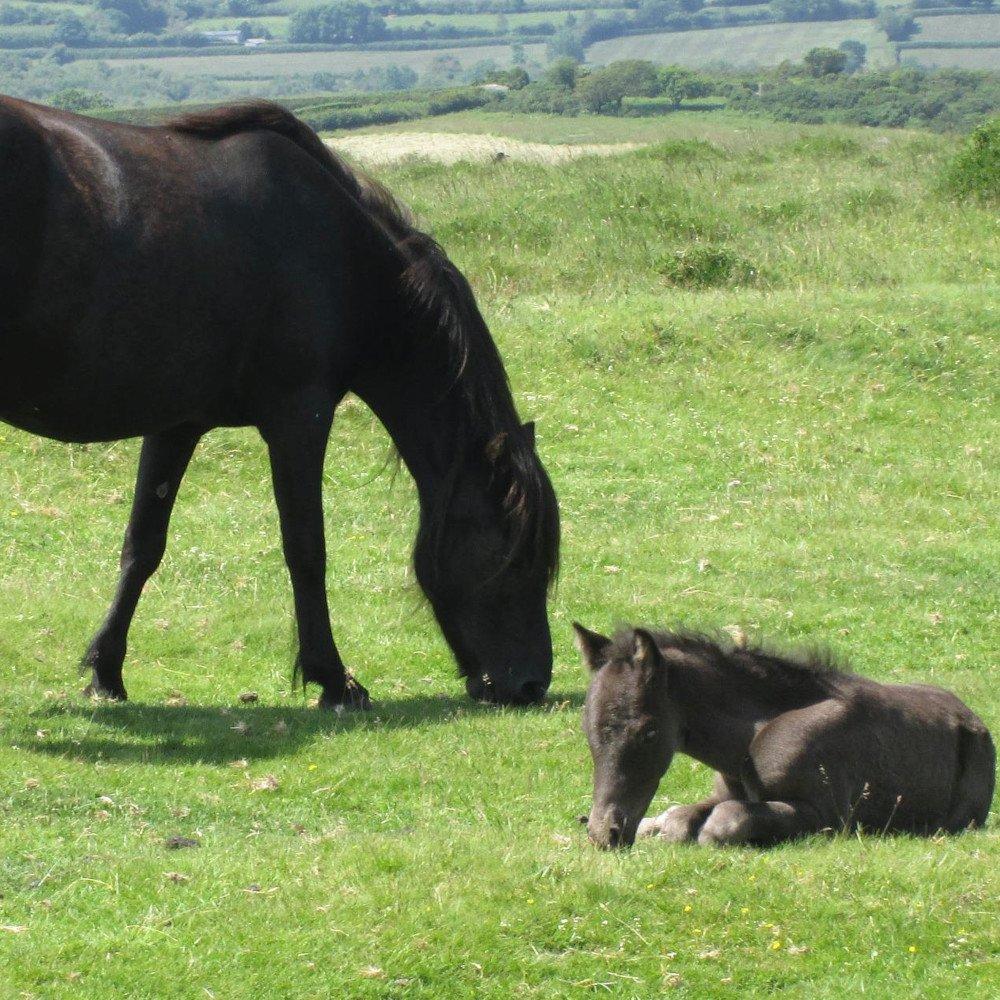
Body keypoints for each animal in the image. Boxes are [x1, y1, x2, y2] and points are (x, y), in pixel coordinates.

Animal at [0, 95, 559, 709]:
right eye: (516, 554)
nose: (531, 683)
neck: (345, 255)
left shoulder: (176, 424)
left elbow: (142, 547)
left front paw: (106, 672)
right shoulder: (299, 418)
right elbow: (306, 549)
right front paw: (332, 678)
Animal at [573, 624, 994, 849]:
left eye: (648, 732)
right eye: (586, 728)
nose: (605, 832)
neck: (745, 743)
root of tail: (974, 721)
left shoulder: (828, 815)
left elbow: (722, 822)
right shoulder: (723, 792)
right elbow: (681, 817)